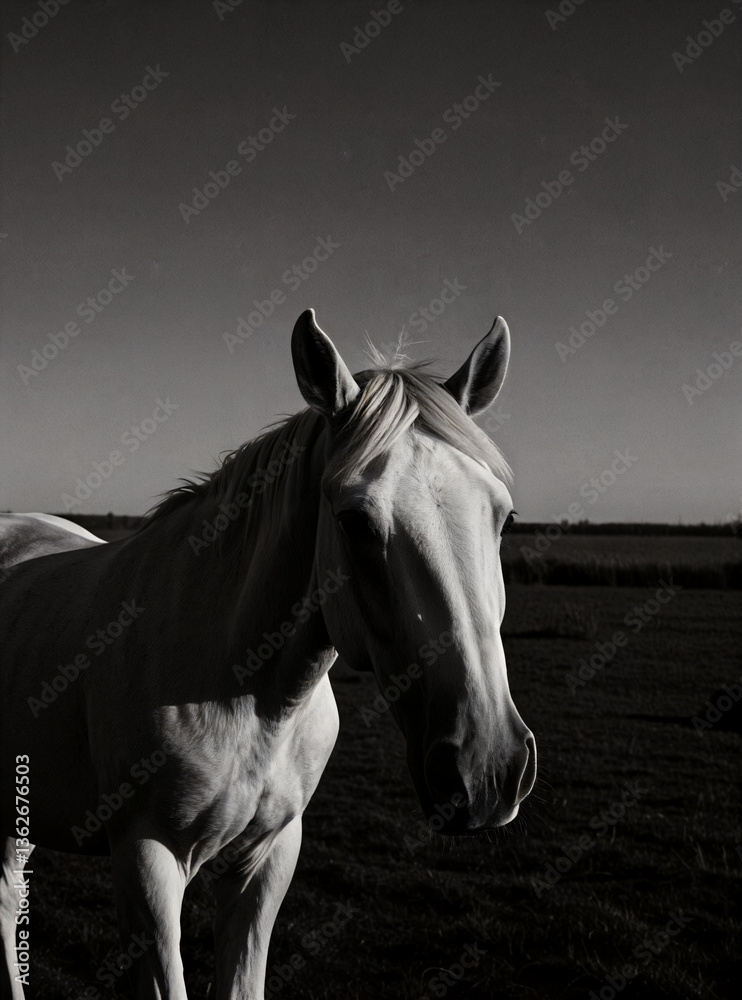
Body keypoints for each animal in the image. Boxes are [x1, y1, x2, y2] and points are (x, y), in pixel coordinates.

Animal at [0, 309, 536, 1000]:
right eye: (355, 521)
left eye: (504, 517)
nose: (489, 766)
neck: (248, 695)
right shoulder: (145, 861)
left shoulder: (270, 856)